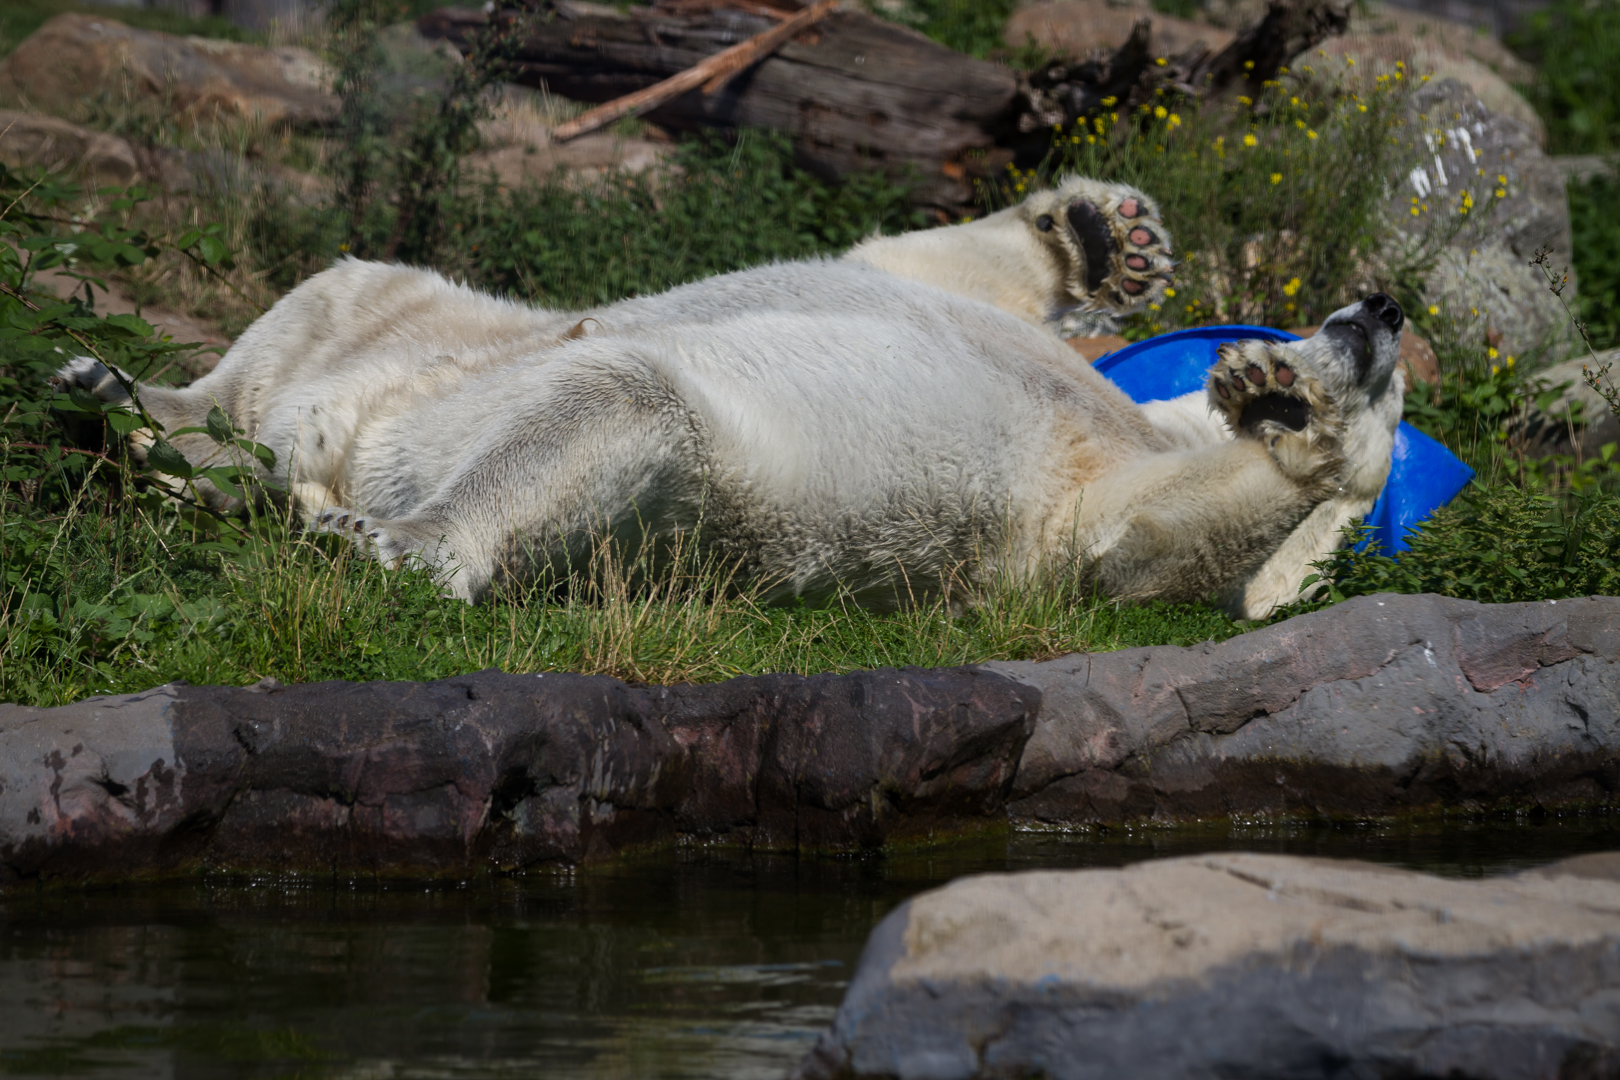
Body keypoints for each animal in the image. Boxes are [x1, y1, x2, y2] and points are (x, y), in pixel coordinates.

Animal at [59, 177, 1406, 615]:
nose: (1381, 312)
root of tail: (333, 442)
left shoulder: (1060, 512)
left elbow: (1134, 548)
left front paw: (1299, 414)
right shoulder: (1008, 338)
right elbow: (925, 265)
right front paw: (1103, 241)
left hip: (593, 452)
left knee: (618, 397)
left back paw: (381, 536)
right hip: (426, 320)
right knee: (310, 315)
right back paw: (120, 398)